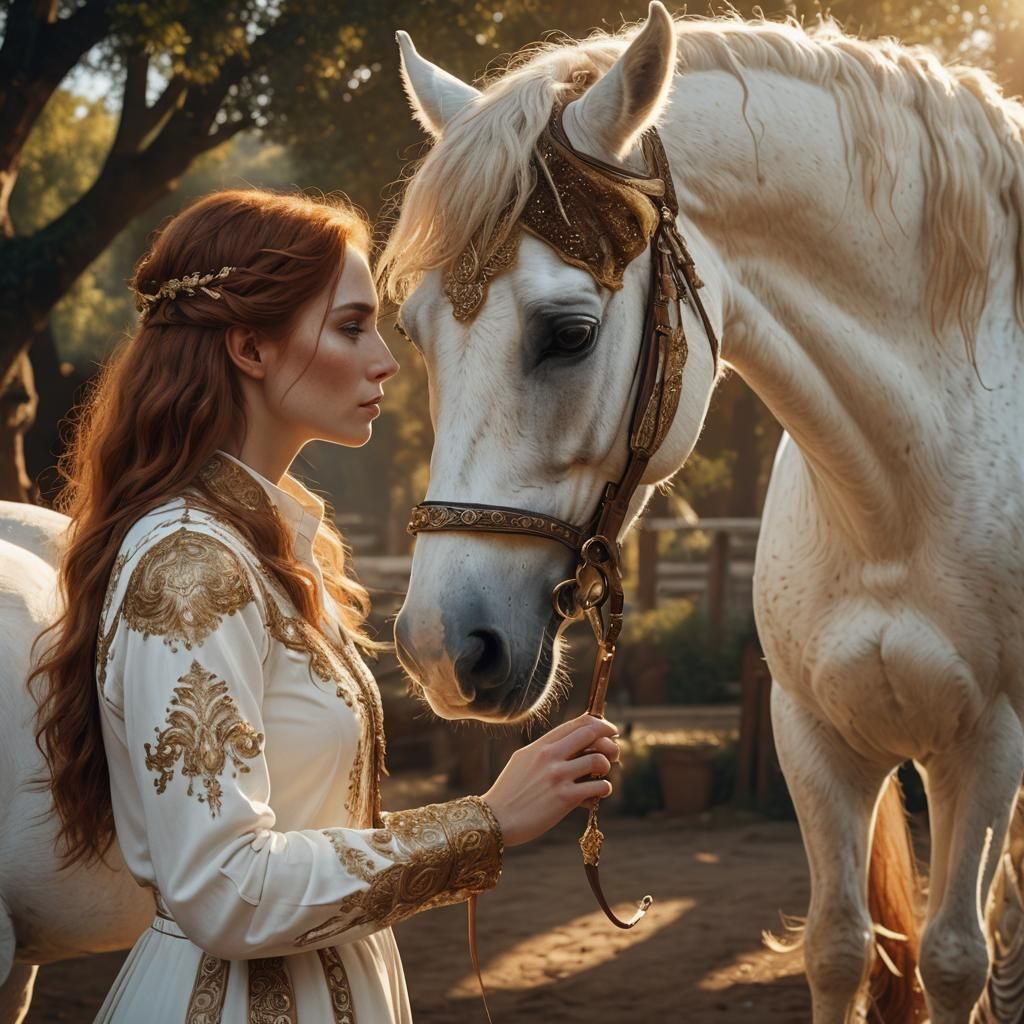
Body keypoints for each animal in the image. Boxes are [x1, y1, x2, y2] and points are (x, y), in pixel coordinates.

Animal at [383, 5, 1024, 1022]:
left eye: (570, 334)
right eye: (413, 332)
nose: (442, 648)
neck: (898, 501)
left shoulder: (989, 747)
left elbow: (956, 956)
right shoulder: (814, 738)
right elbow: (839, 948)